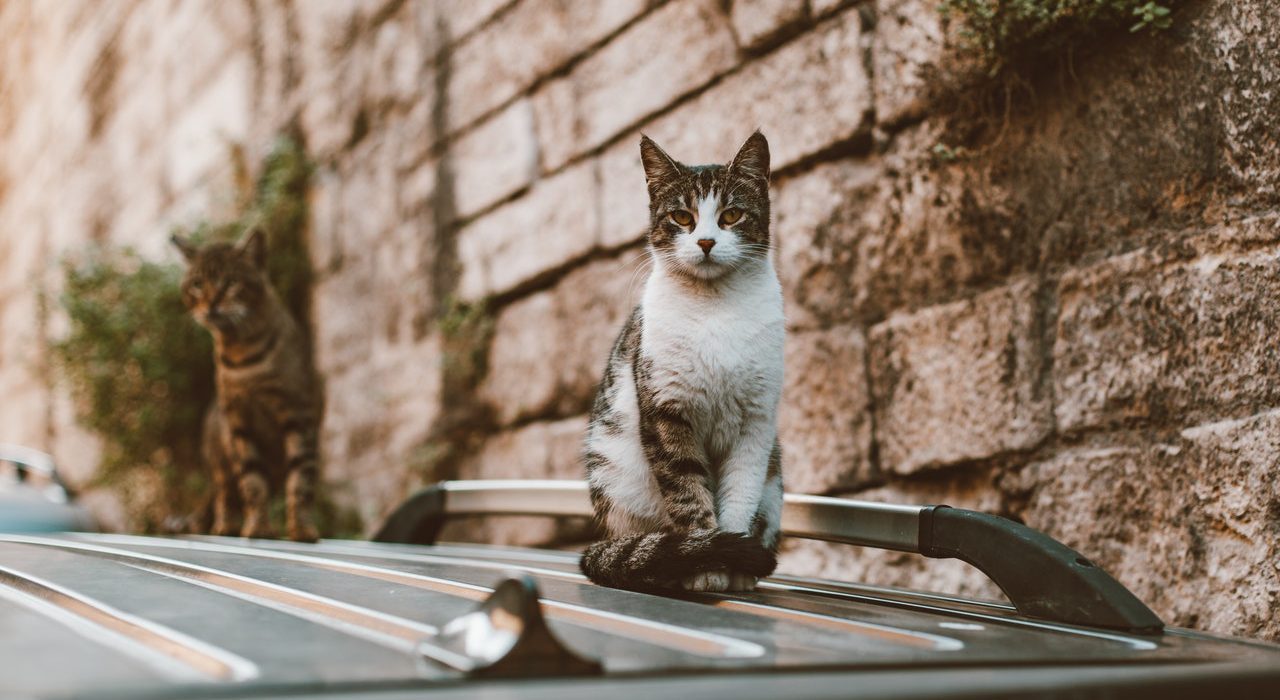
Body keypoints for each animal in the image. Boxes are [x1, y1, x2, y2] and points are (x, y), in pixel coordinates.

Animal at [172, 227, 320, 540]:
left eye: (231, 283)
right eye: (197, 285)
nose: (211, 304)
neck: (243, 356)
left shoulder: (297, 414)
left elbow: (301, 479)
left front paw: (302, 529)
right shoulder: (239, 422)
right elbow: (252, 482)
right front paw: (258, 527)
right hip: (219, 456)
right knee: (224, 493)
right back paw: (225, 526)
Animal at [578, 129, 778, 591]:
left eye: (732, 215)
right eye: (683, 218)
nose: (705, 242)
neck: (715, 307)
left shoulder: (757, 424)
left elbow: (740, 496)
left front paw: (736, 558)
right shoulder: (665, 413)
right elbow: (688, 496)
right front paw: (706, 562)